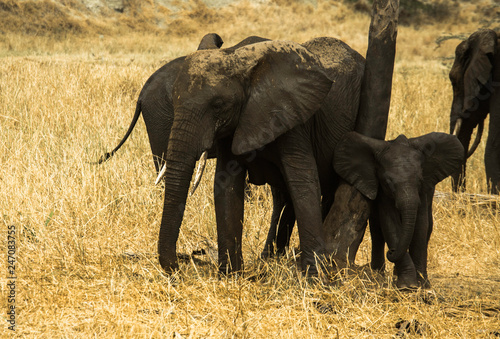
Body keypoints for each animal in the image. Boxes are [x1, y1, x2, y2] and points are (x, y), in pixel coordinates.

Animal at [158, 37, 366, 276]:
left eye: (218, 105)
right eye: (173, 101)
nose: (177, 267)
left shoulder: (291, 117)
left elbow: (303, 183)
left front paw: (313, 278)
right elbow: (227, 185)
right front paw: (230, 275)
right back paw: (273, 257)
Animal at [334, 131, 462, 288]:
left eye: (420, 180)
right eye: (387, 183)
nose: (391, 252)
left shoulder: (423, 191)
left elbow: (421, 226)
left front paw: (421, 285)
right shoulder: (382, 193)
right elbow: (390, 224)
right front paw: (407, 286)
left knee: (428, 226)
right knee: (377, 230)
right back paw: (379, 273)